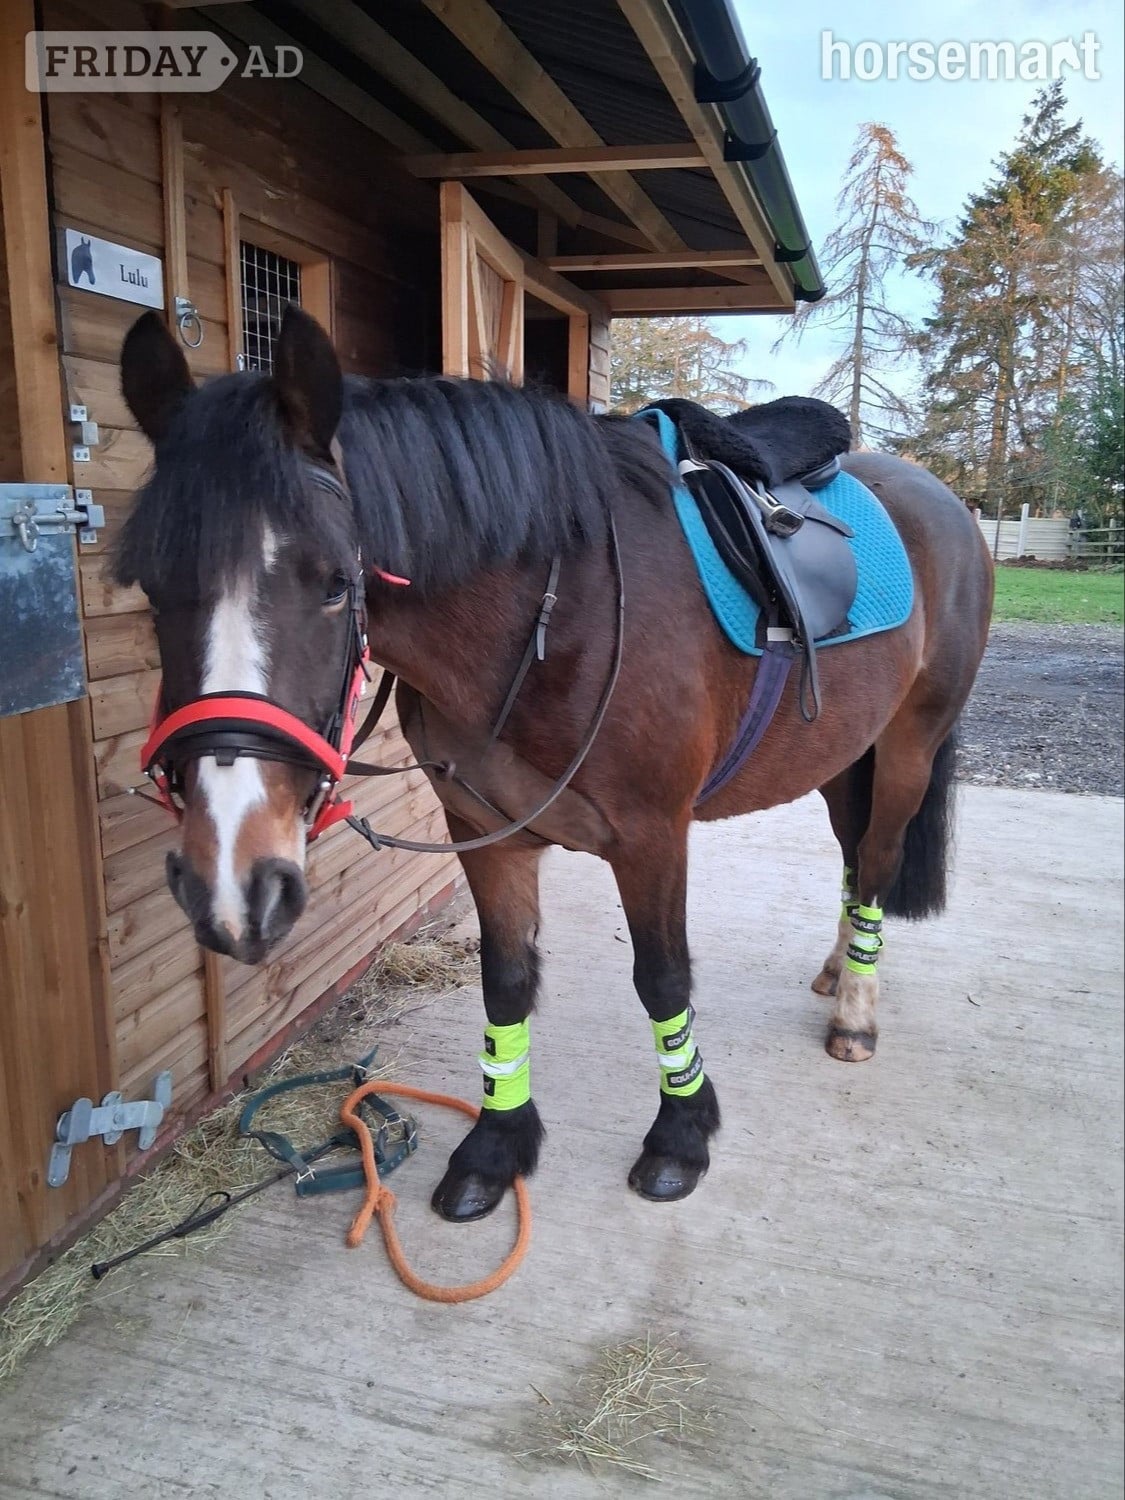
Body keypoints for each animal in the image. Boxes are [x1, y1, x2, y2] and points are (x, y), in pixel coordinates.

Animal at [116, 307, 993, 1222]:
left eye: (331, 584)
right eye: (150, 587)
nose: (234, 885)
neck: (555, 613)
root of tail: (942, 498)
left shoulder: (652, 836)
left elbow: (662, 980)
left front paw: (680, 1134)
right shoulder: (485, 831)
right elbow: (505, 981)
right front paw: (497, 1144)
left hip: (907, 746)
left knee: (878, 858)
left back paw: (855, 1010)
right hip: (840, 755)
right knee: (855, 859)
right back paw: (834, 971)